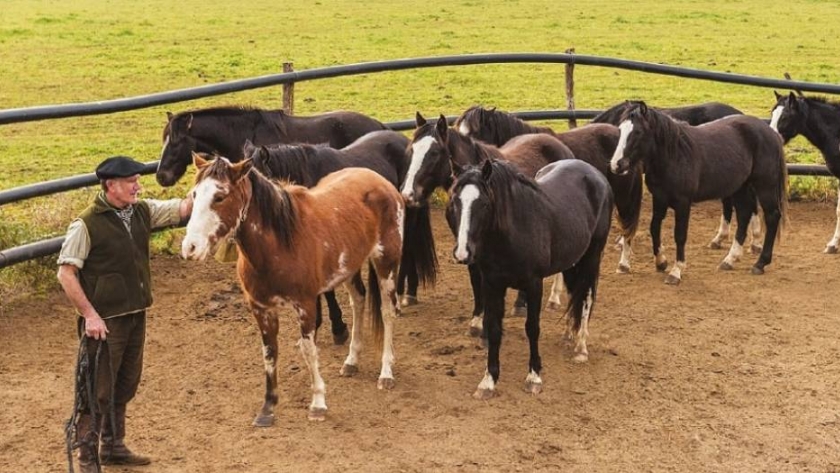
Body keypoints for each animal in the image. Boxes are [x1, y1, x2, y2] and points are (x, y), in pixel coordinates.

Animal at [181, 153, 404, 425]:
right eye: (194, 194)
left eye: (220, 196)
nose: (190, 247)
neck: (280, 244)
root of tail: (381, 182)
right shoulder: (261, 308)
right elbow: (269, 352)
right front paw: (268, 408)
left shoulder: (306, 304)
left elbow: (308, 350)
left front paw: (318, 403)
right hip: (349, 267)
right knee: (359, 302)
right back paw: (351, 362)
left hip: (387, 263)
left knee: (387, 311)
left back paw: (386, 373)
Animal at [402, 113, 575, 338]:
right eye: (412, 149)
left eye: (434, 152)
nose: (408, 194)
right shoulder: (467, 243)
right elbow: (476, 278)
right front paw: (477, 320)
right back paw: (521, 303)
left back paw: (552, 298)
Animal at [446, 158, 613, 399]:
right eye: (454, 201)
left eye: (484, 204)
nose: (462, 253)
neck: (515, 232)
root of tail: (596, 175)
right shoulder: (492, 284)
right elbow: (493, 328)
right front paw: (488, 381)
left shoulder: (534, 285)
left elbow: (532, 328)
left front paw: (534, 377)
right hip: (572, 259)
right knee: (575, 294)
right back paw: (568, 335)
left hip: (592, 256)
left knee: (587, 297)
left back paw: (581, 347)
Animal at [609, 101, 788, 284]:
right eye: (620, 129)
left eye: (638, 132)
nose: (617, 164)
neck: (675, 154)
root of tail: (771, 133)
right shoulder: (659, 198)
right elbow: (654, 228)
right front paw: (661, 262)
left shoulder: (683, 203)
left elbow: (680, 235)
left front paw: (676, 271)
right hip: (741, 187)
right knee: (744, 215)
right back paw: (730, 260)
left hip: (765, 185)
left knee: (772, 216)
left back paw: (760, 263)